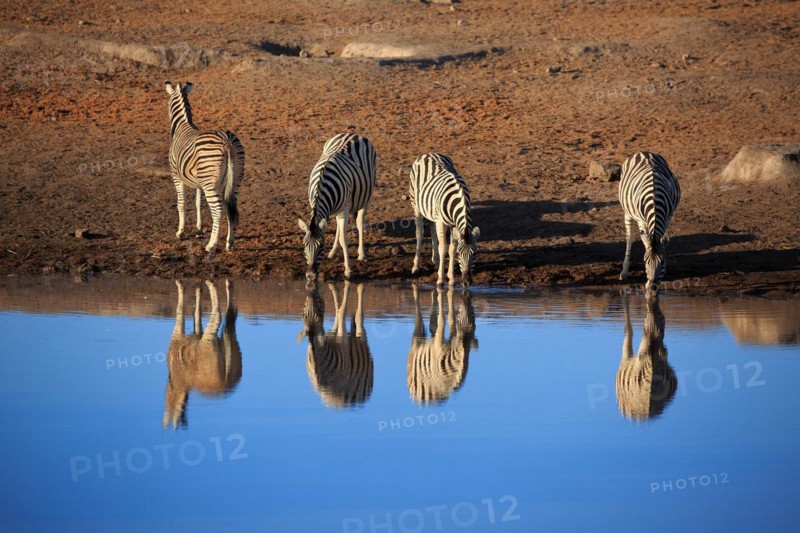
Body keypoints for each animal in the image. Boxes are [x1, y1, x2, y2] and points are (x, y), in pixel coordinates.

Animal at [163, 279, 242, 429]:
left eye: (169, 393)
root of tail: (226, 383)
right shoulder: (197, 335)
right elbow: (197, 313)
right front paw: (198, 289)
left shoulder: (177, 335)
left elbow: (179, 309)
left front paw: (180, 284)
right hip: (234, 348)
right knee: (229, 303)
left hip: (208, 341)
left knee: (217, 313)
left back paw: (210, 283)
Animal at [165, 81, 244, 252]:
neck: (182, 126)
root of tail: (226, 140)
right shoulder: (198, 182)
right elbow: (197, 203)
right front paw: (199, 229)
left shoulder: (176, 176)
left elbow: (181, 203)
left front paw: (181, 231)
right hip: (234, 180)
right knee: (230, 207)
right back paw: (230, 243)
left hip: (210, 183)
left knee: (218, 209)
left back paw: (211, 244)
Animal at [297, 134, 376, 281]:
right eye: (305, 245)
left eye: (321, 246)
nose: (310, 275)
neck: (321, 186)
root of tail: (352, 134)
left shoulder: (344, 209)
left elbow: (344, 239)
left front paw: (348, 270)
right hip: (338, 209)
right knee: (339, 226)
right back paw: (333, 252)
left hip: (367, 196)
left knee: (359, 221)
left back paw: (361, 254)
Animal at [409, 153, 480, 287]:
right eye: (460, 254)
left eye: (474, 253)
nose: (466, 282)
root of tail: (429, 153)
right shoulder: (442, 222)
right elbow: (443, 248)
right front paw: (440, 279)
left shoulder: (454, 224)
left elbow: (452, 248)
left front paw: (451, 278)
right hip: (416, 205)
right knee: (419, 233)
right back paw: (416, 266)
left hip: (431, 212)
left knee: (432, 228)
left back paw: (436, 261)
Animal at [618, 151, 681, 293]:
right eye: (645, 261)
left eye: (662, 262)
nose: (652, 286)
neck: (655, 199)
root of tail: (644, 152)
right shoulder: (642, 221)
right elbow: (645, 242)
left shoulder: (667, 218)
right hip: (627, 212)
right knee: (629, 238)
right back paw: (624, 272)